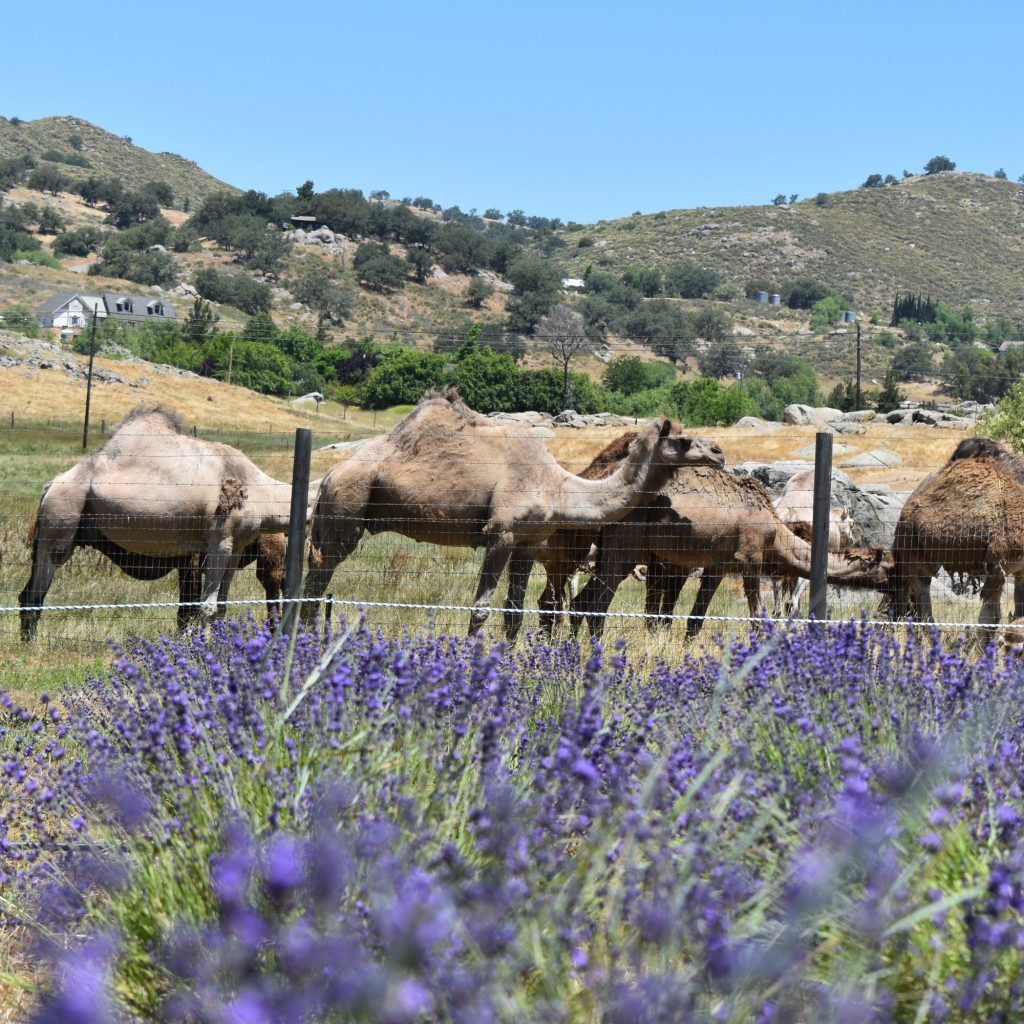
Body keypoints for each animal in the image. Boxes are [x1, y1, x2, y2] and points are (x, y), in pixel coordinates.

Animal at [20, 406, 311, 640]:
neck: (259, 491)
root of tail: (50, 486)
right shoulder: (219, 542)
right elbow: (205, 606)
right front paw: (203, 647)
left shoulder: (238, 545)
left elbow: (220, 605)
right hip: (61, 516)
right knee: (39, 585)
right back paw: (32, 645)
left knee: (30, 590)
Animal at [303, 390, 725, 639]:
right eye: (683, 440)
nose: (719, 453)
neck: (558, 486)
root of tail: (328, 476)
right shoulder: (500, 534)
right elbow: (480, 610)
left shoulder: (528, 540)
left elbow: (514, 613)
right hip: (346, 508)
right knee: (317, 580)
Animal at [573, 464, 892, 640]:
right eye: (889, 567)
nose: (895, 584)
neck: (775, 530)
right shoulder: (749, 559)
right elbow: (759, 618)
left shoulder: (719, 565)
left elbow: (696, 620)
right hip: (625, 544)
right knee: (597, 604)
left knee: (580, 601)